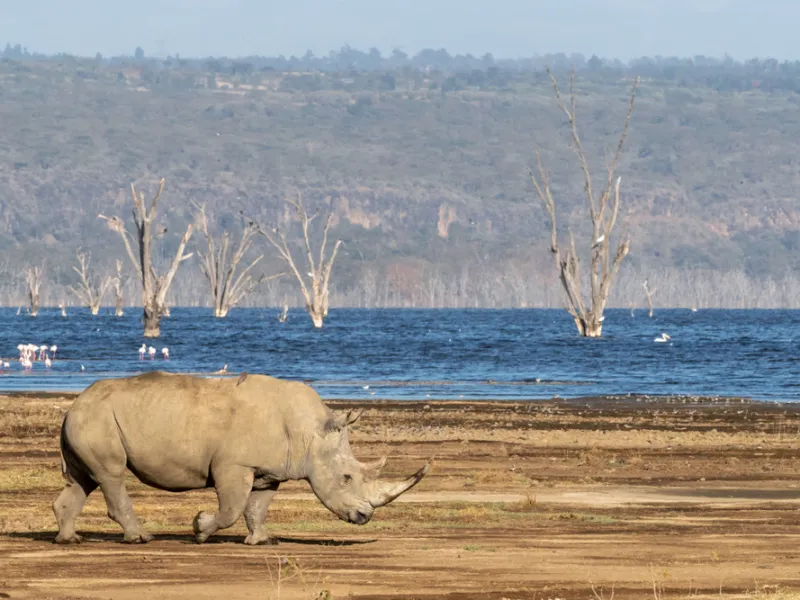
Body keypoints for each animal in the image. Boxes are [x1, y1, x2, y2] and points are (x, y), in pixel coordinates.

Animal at [53, 371, 430, 545]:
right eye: (347, 478)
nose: (365, 517)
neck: (311, 432)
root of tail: (74, 404)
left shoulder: (269, 470)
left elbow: (257, 507)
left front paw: (263, 541)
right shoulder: (234, 466)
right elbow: (231, 509)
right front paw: (200, 529)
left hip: (89, 418)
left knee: (84, 480)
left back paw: (70, 539)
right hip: (97, 418)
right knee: (111, 476)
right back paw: (141, 539)